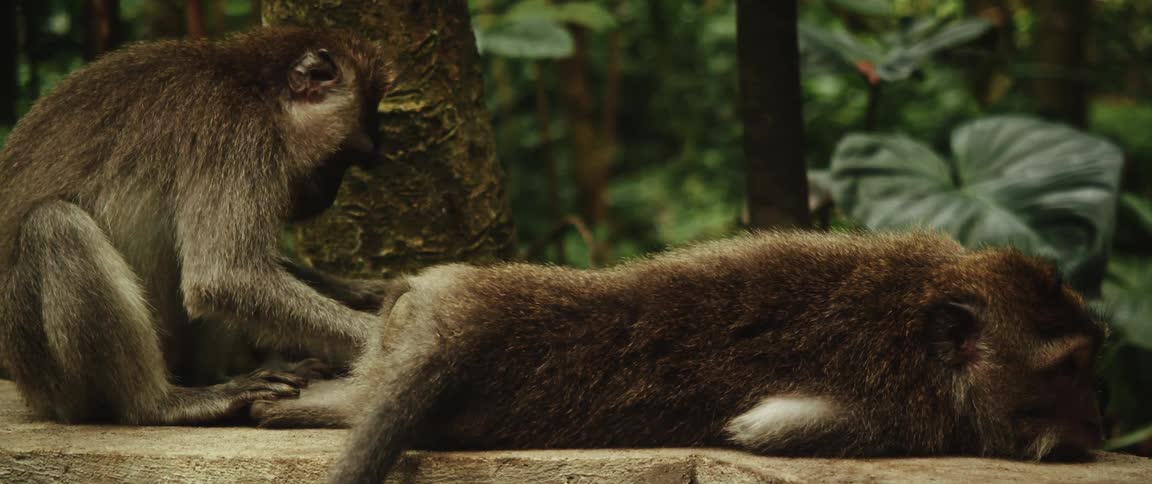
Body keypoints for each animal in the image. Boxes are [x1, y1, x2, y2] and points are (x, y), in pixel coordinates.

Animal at [0, 27, 397, 425]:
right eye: (341, 158)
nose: (328, 197)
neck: (257, 89)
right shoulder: (239, 136)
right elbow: (224, 277)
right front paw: (382, 336)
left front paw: (372, 292)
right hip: (49, 379)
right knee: (55, 224)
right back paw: (162, 404)